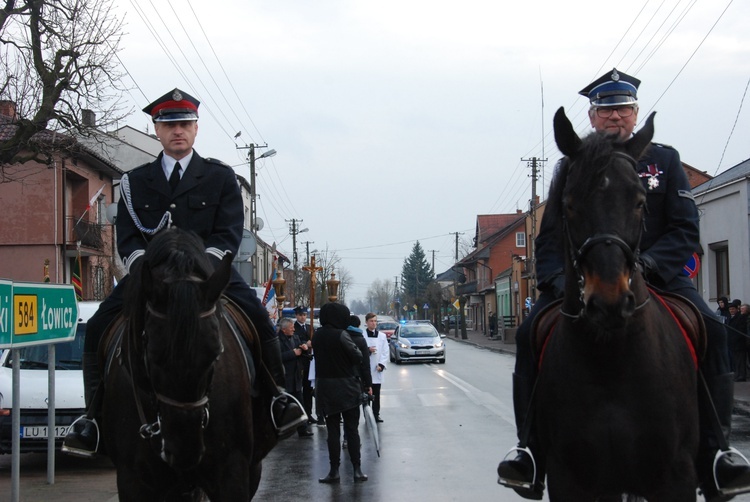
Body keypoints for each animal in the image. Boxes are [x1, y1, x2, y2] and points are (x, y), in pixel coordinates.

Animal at [536, 108, 704, 500]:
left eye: (640, 201)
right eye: (568, 204)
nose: (608, 302)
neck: (610, 360)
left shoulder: (676, 478)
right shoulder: (569, 477)